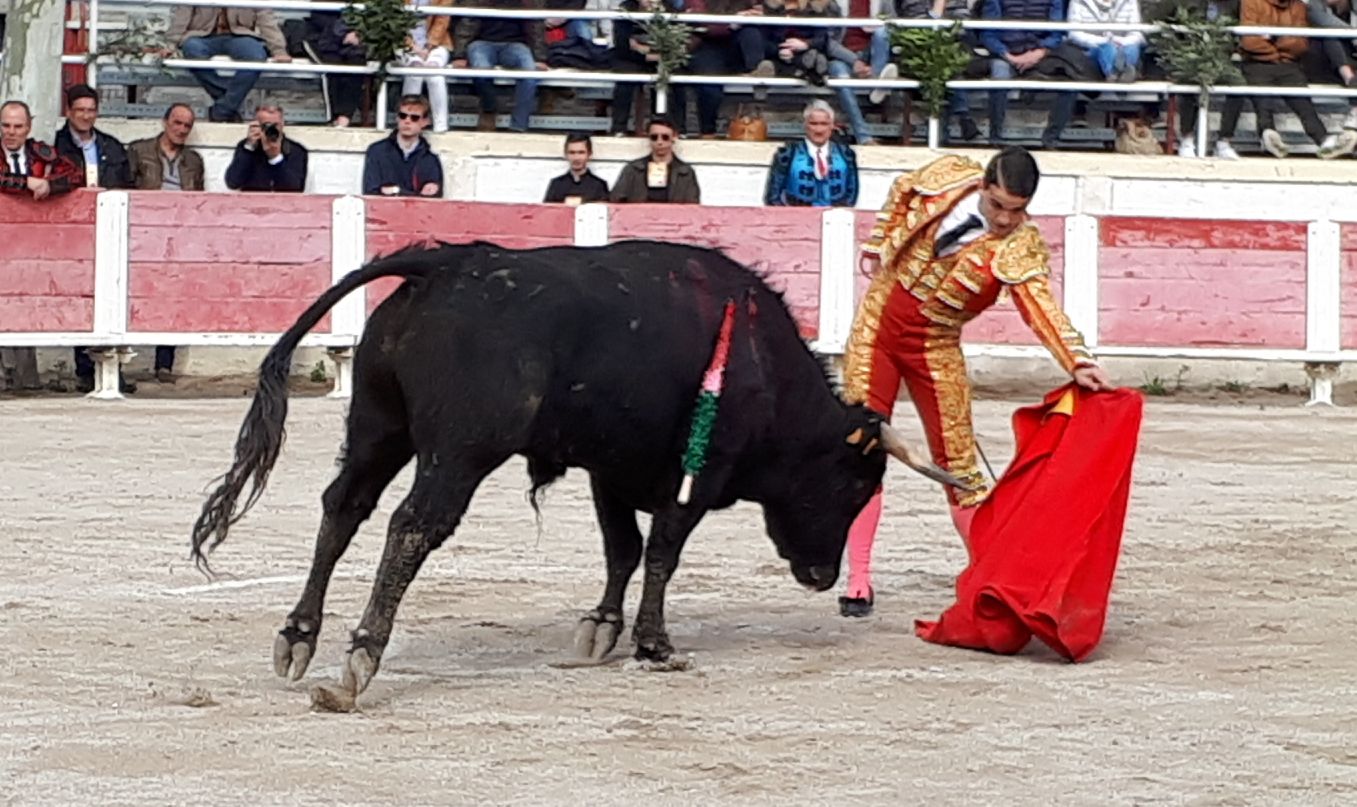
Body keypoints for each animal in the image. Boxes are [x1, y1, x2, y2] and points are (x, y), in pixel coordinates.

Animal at [190, 240, 965, 701]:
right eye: (854, 484)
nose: (822, 576)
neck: (765, 367)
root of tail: (444, 263)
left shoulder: (608, 471)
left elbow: (622, 548)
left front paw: (602, 627)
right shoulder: (698, 473)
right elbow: (661, 551)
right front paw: (656, 644)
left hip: (379, 427)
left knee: (343, 508)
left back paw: (298, 638)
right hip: (460, 451)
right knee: (411, 527)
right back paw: (359, 660)